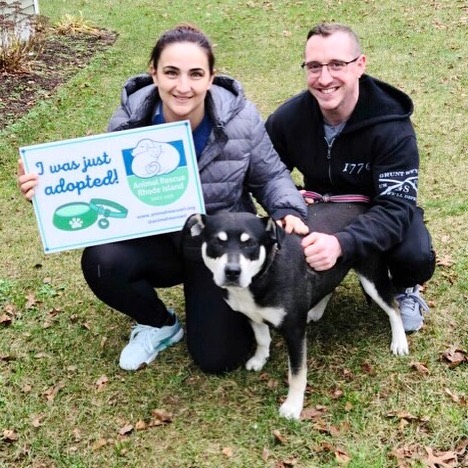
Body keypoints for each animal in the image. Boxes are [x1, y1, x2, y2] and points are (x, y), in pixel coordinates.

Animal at [185, 205, 408, 420]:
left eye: (250, 244)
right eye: (217, 242)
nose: (232, 272)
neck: (265, 272)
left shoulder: (294, 331)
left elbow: (297, 374)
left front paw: (293, 406)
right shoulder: (251, 314)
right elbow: (262, 338)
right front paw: (260, 358)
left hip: (372, 276)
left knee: (393, 307)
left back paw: (399, 342)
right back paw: (316, 310)